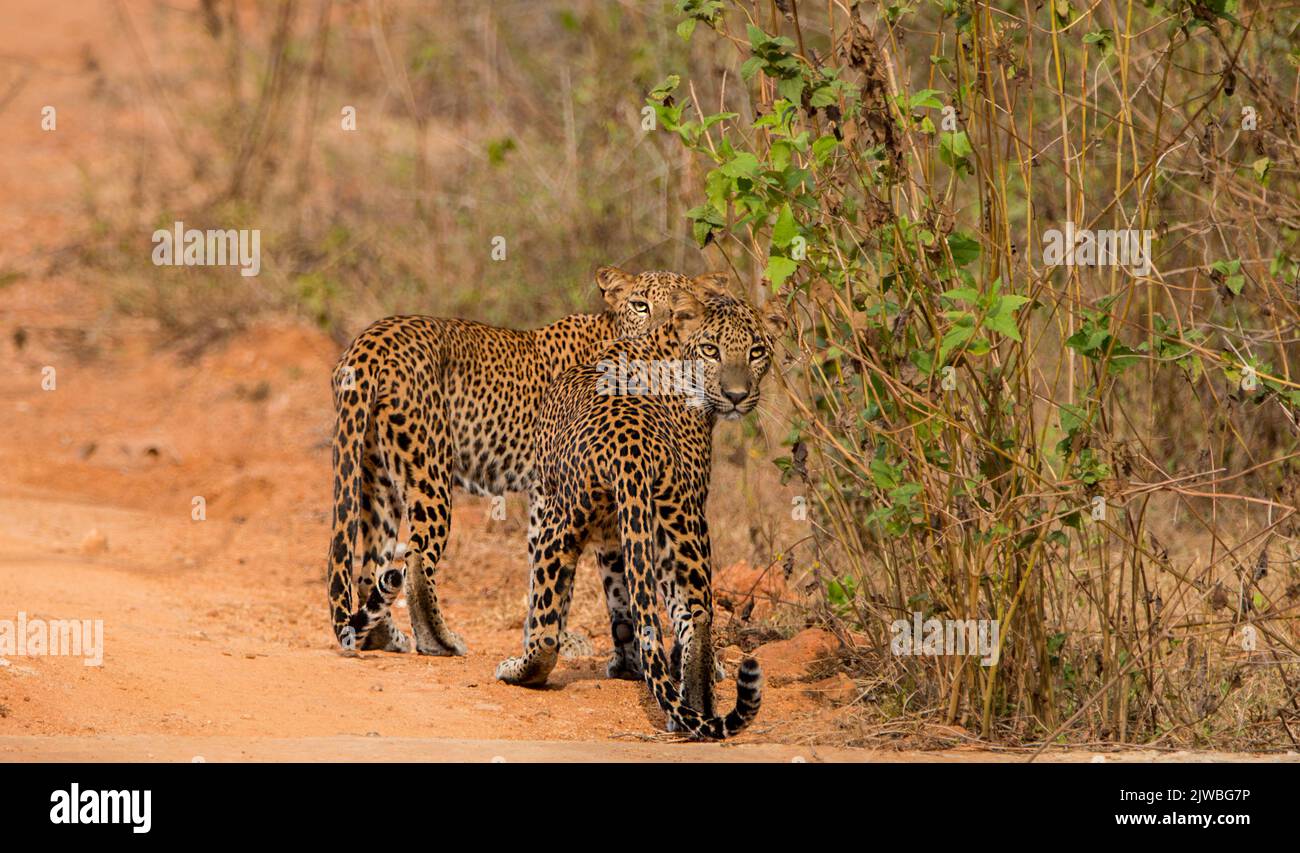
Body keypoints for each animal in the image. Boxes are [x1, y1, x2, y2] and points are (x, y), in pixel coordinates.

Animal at [325, 270, 733, 655]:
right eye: (640, 305)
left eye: (680, 307)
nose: (658, 331)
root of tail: (370, 341)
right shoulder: (554, 488)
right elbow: (554, 568)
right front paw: (558, 640)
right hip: (430, 469)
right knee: (416, 561)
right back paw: (440, 641)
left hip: (377, 477)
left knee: (371, 568)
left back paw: (385, 637)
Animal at [493, 284, 780, 738]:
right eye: (712, 350)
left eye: (756, 352)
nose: (736, 395)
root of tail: (630, 450)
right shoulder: (623, 534)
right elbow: (625, 602)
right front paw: (633, 664)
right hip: (680, 523)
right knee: (697, 615)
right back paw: (692, 708)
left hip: (563, 525)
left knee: (546, 632)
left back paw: (520, 671)